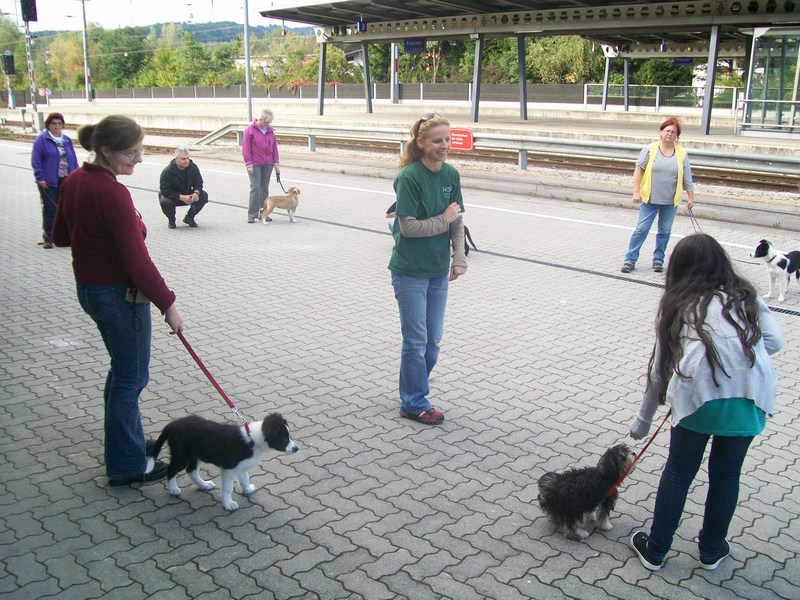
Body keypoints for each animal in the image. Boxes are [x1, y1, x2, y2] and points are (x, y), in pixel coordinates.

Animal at [148, 413, 298, 511]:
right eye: (284, 439)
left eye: (289, 436)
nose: (296, 449)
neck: (253, 440)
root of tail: (172, 425)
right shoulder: (229, 468)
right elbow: (227, 489)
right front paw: (229, 505)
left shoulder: (241, 467)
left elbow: (244, 479)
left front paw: (248, 489)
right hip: (181, 455)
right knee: (171, 469)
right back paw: (173, 490)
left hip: (196, 454)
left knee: (191, 470)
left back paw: (204, 485)